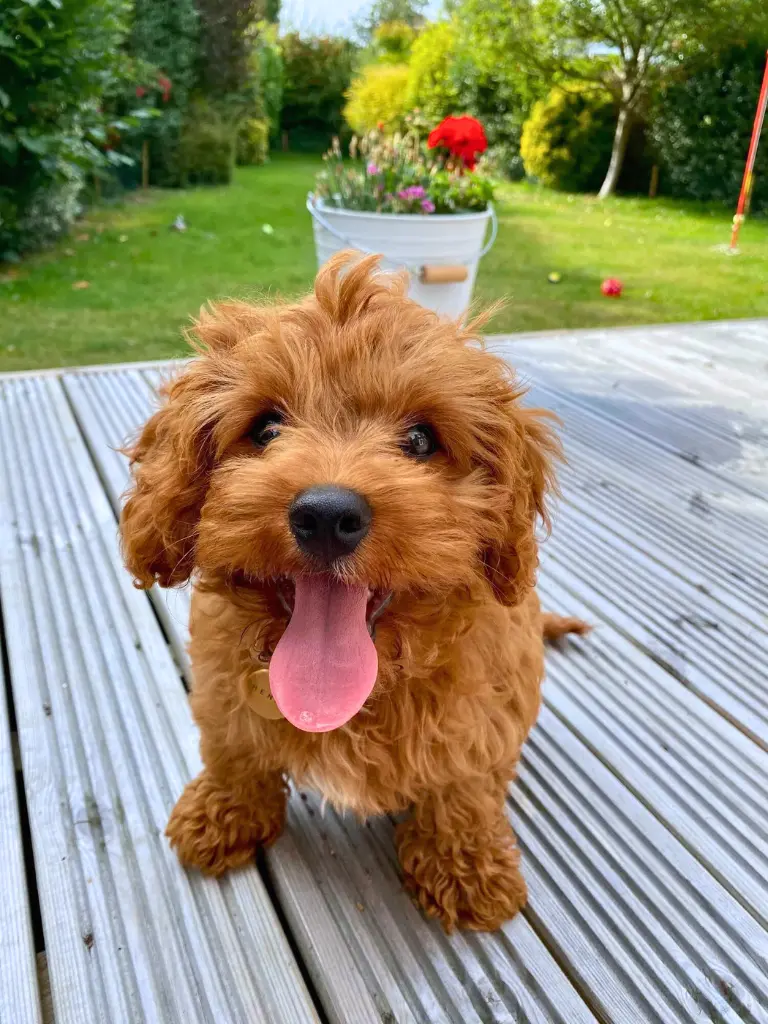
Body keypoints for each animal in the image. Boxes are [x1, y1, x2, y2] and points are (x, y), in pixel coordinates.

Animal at [121, 251, 589, 933]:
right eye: (265, 428)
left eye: (420, 440)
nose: (325, 514)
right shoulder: (221, 683)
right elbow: (234, 747)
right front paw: (222, 812)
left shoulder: (487, 709)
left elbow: (465, 782)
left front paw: (466, 868)